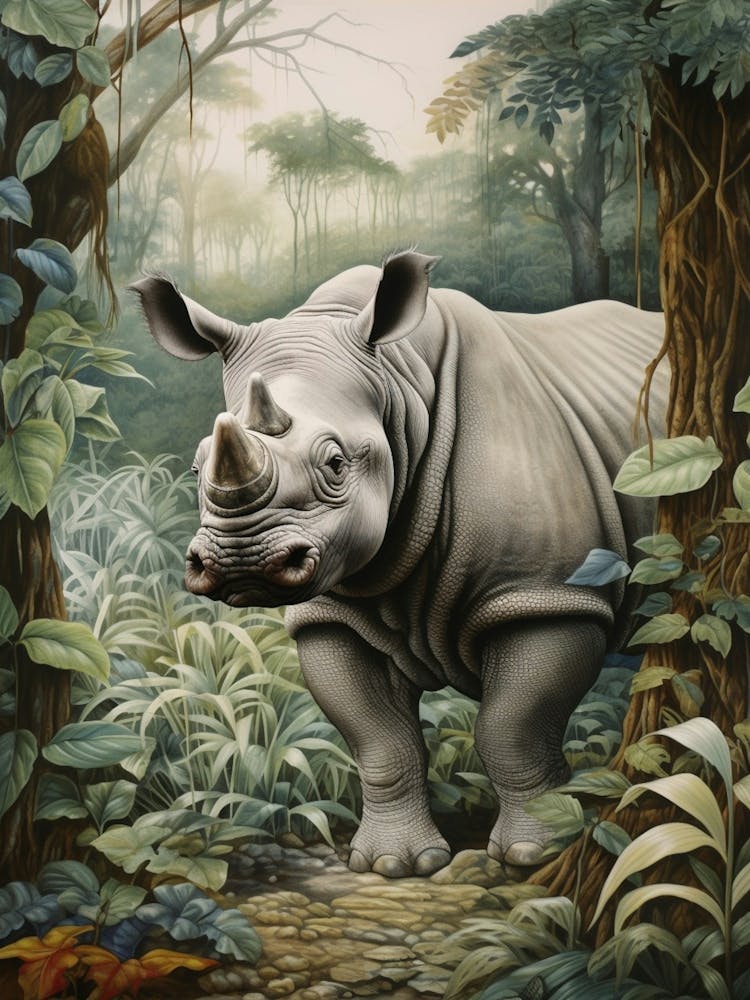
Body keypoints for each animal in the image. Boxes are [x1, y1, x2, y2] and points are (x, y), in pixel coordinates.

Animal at [131, 251, 668, 876]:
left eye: (336, 463)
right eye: (196, 468)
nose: (241, 561)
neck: (400, 387)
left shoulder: (546, 594)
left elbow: (512, 727)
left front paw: (539, 851)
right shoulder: (333, 614)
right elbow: (379, 741)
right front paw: (395, 865)